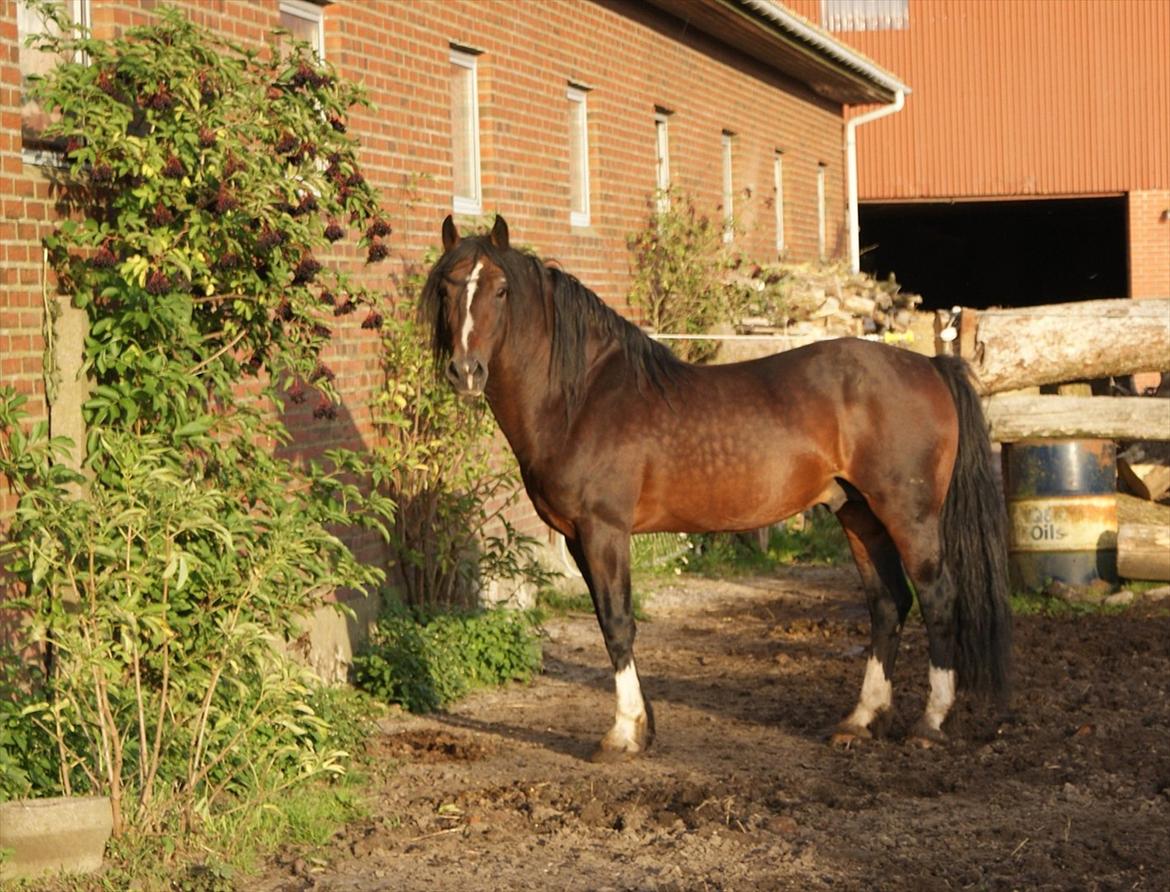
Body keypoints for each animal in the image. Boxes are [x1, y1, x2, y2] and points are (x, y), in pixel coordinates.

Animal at [425, 214, 1010, 758]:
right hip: (858, 512)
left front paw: (622, 734)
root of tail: (929, 364)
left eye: (501, 289)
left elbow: (617, 623)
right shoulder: (576, 538)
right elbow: (610, 624)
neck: (583, 396)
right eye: (448, 288)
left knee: (937, 597)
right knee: (888, 602)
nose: (466, 371)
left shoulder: (603, 531)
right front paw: (644, 727)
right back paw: (860, 720)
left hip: (909, 514)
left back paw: (929, 724)